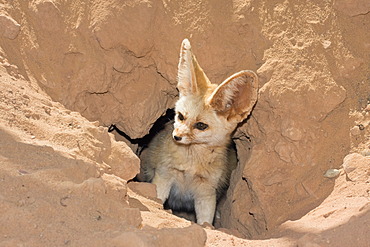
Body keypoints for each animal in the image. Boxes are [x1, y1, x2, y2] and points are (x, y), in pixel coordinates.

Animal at [140, 39, 258, 226]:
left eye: (201, 125)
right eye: (180, 116)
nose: (176, 136)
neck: (191, 164)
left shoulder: (206, 193)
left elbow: (205, 223)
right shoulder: (164, 176)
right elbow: (157, 201)